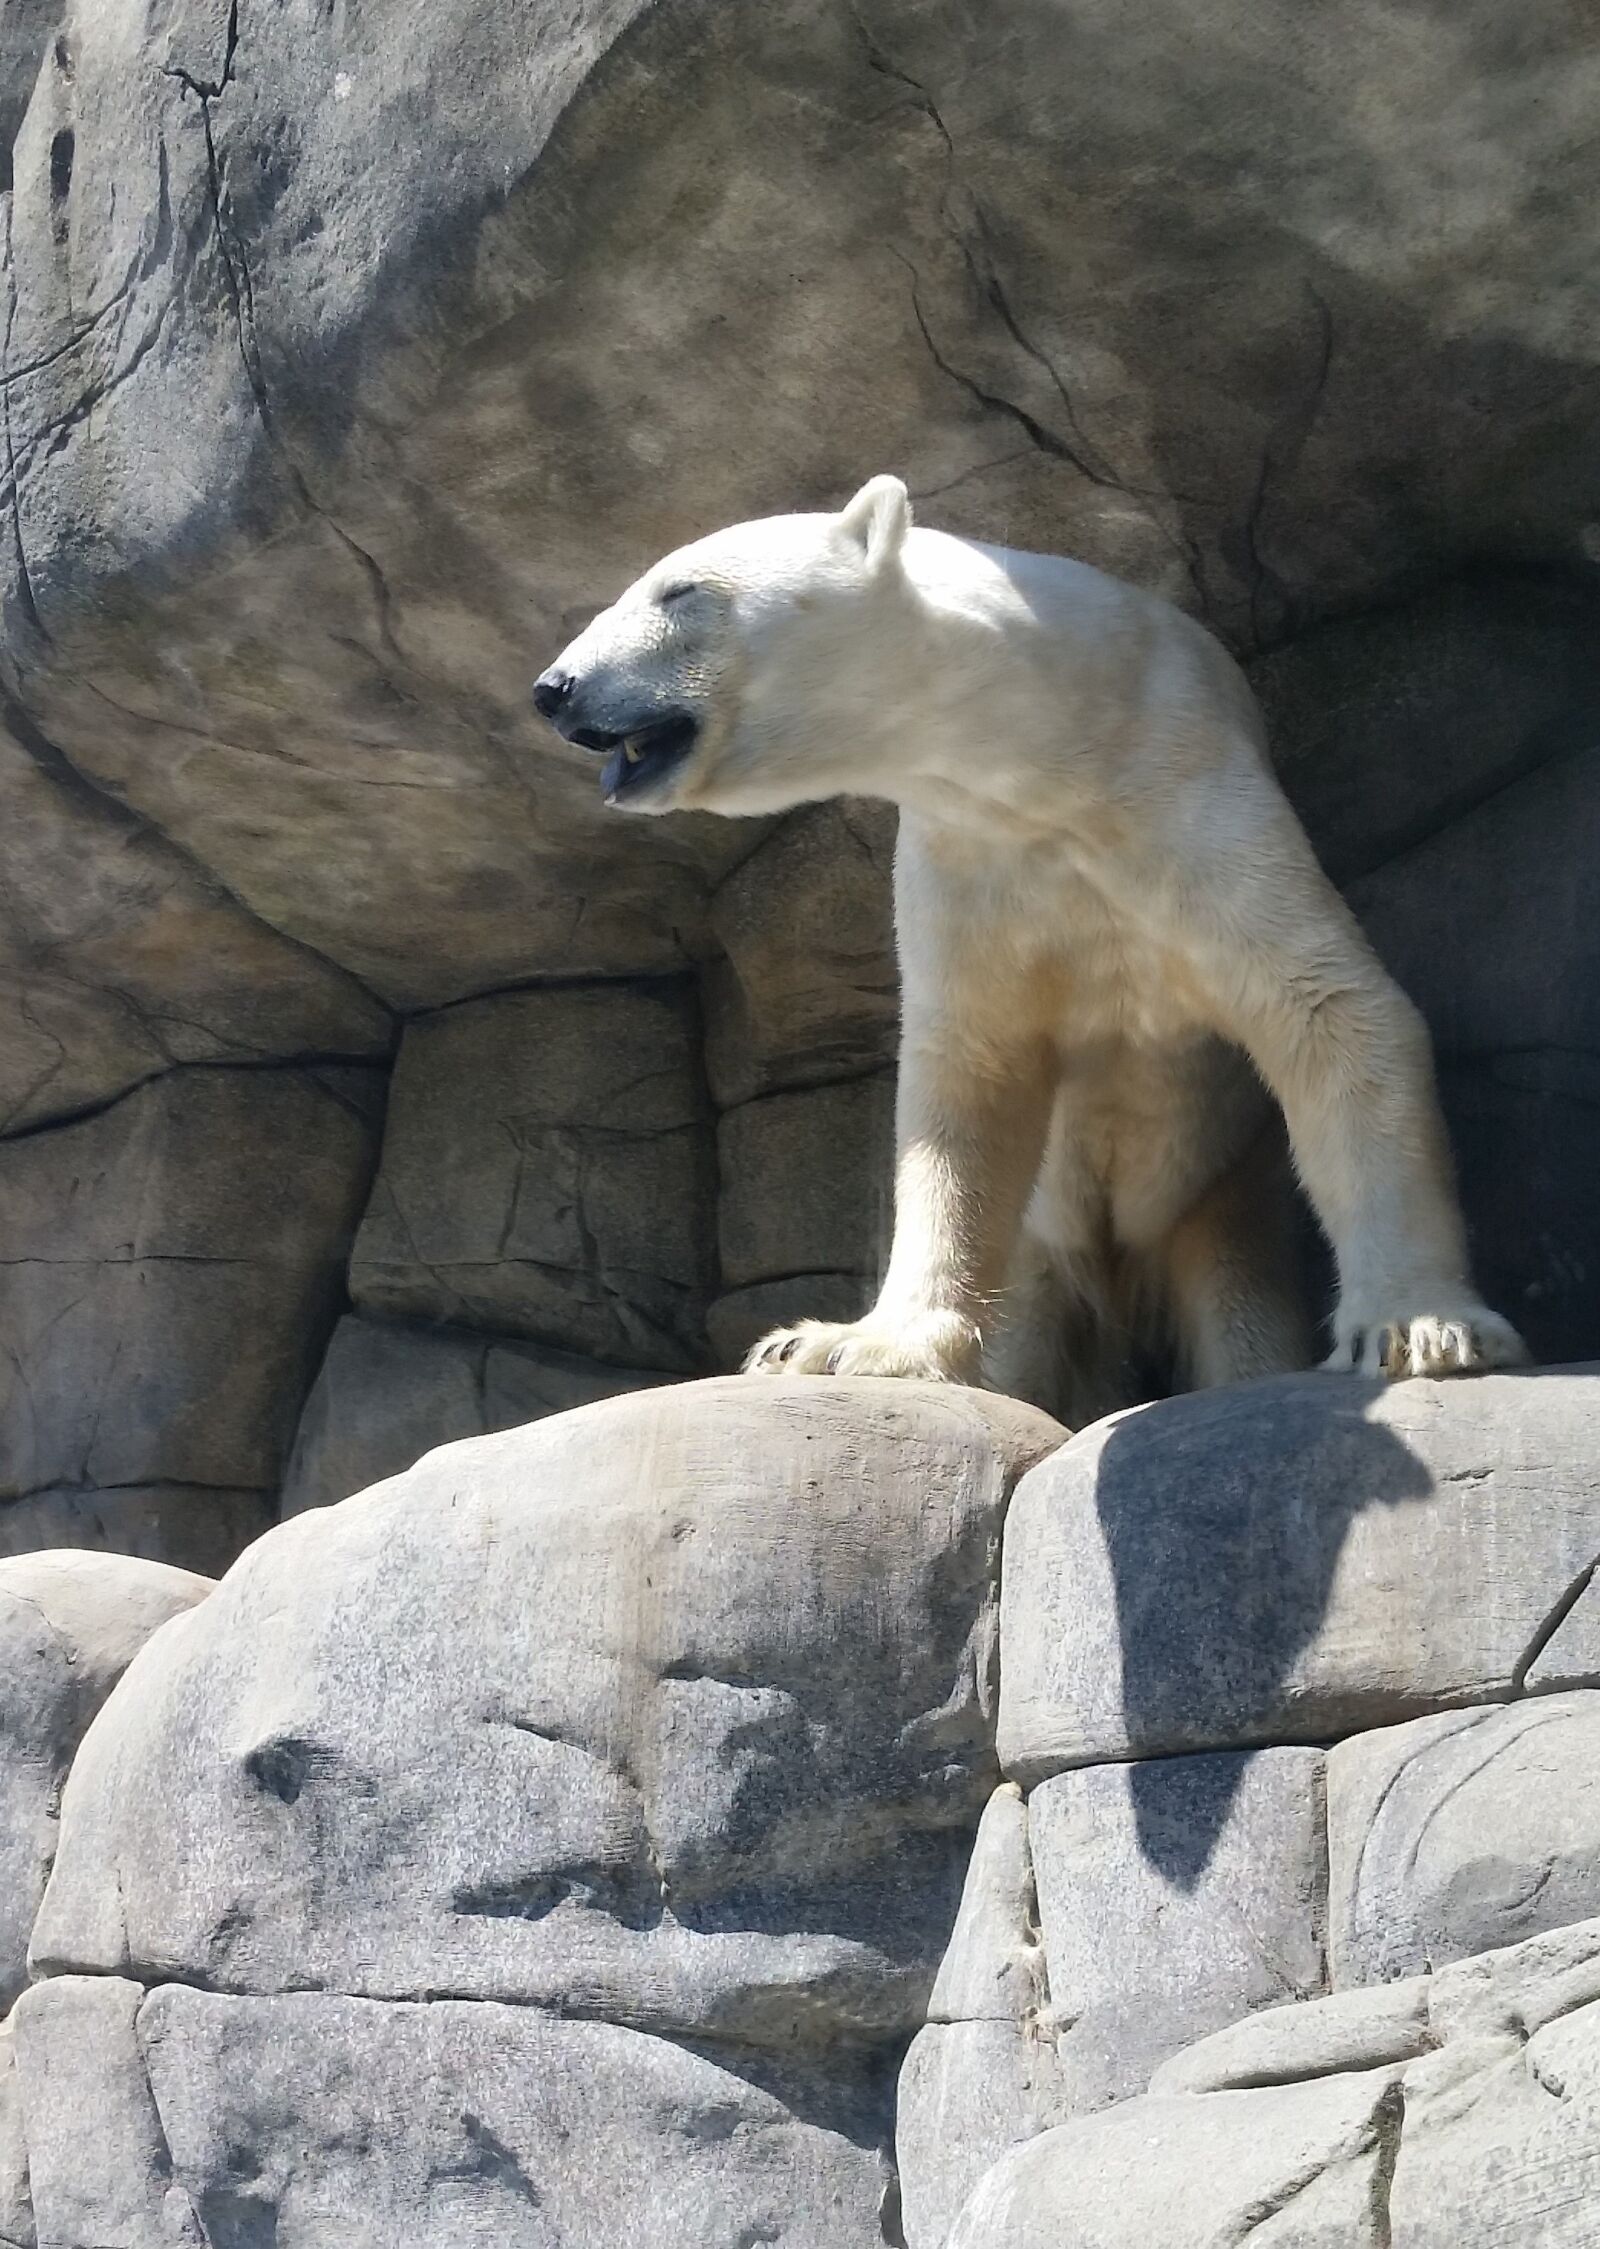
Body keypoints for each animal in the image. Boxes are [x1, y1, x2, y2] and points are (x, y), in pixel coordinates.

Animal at [533, 476, 1527, 1418]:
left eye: (680, 589)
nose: (553, 688)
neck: (1054, 751)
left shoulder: (1187, 790)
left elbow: (1328, 1005)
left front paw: (1417, 1327)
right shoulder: (968, 858)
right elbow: (969, 1084)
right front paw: (848, 1342)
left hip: (1221, 1189)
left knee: (1238, 1292)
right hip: (1050, 1251)